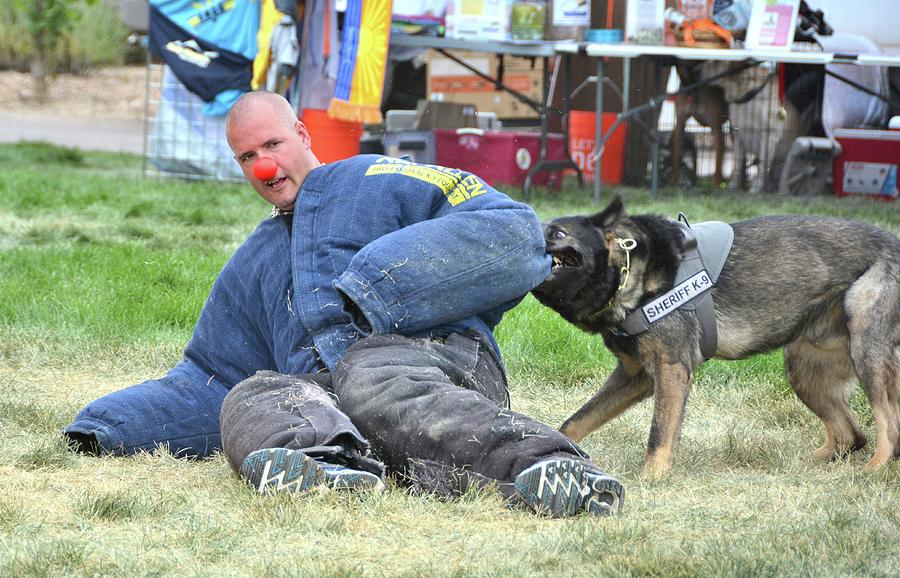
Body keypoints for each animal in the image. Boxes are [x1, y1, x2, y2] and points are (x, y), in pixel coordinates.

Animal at [536, 196, 900, 474]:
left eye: (558, 232)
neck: (633, 269)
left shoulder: (671, 370)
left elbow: (658, 435)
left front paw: (651, 479)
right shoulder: (635, 376)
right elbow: (575, 422)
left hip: (866, 347)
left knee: (889, 428)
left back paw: (872, 470)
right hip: (804, 369)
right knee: (851, 435)